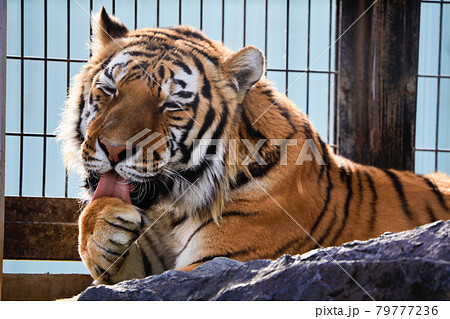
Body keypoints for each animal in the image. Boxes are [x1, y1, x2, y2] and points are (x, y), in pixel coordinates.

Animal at [59, 7, 450, 286]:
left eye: (171, 105)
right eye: (110, 89)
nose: (113, 150)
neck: (172, 207)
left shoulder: (219, 264)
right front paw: (106, 223)